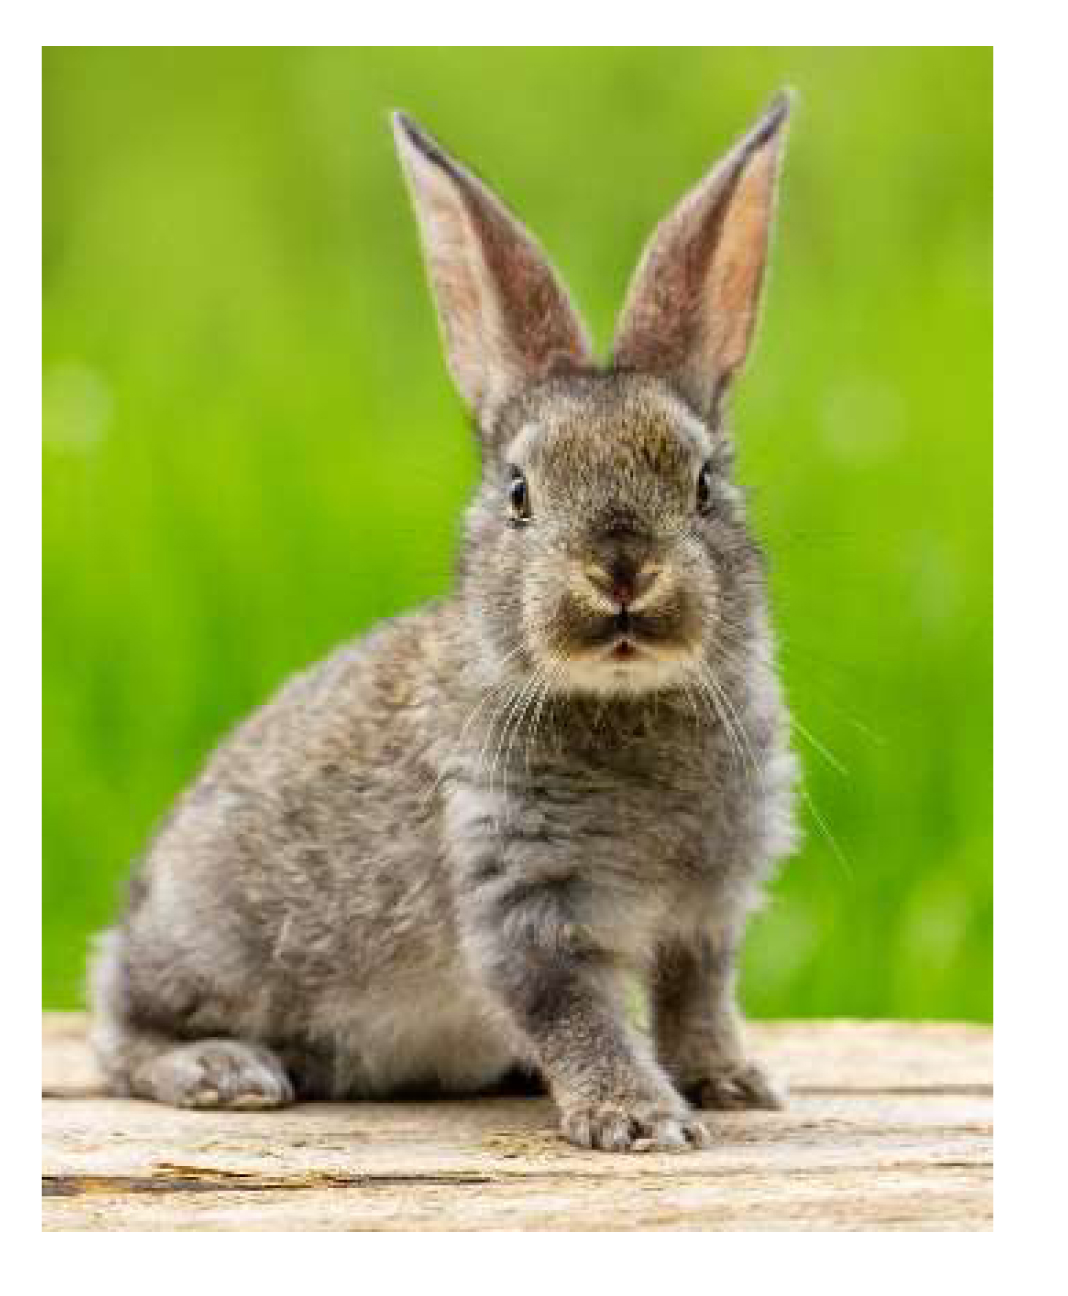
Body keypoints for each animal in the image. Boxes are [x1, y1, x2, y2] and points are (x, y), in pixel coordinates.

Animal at [89, 93, 800, 1153]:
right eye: (519, 494)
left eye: (704, 484)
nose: (621, 573)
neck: (623, 700)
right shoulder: (520, 897)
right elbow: (576, 1010)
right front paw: (636, 1120)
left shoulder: (705, 915)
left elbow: (694, 1001)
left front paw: (730, 1085)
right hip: (206, 943)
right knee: (121, 1033)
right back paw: (223, 1071)